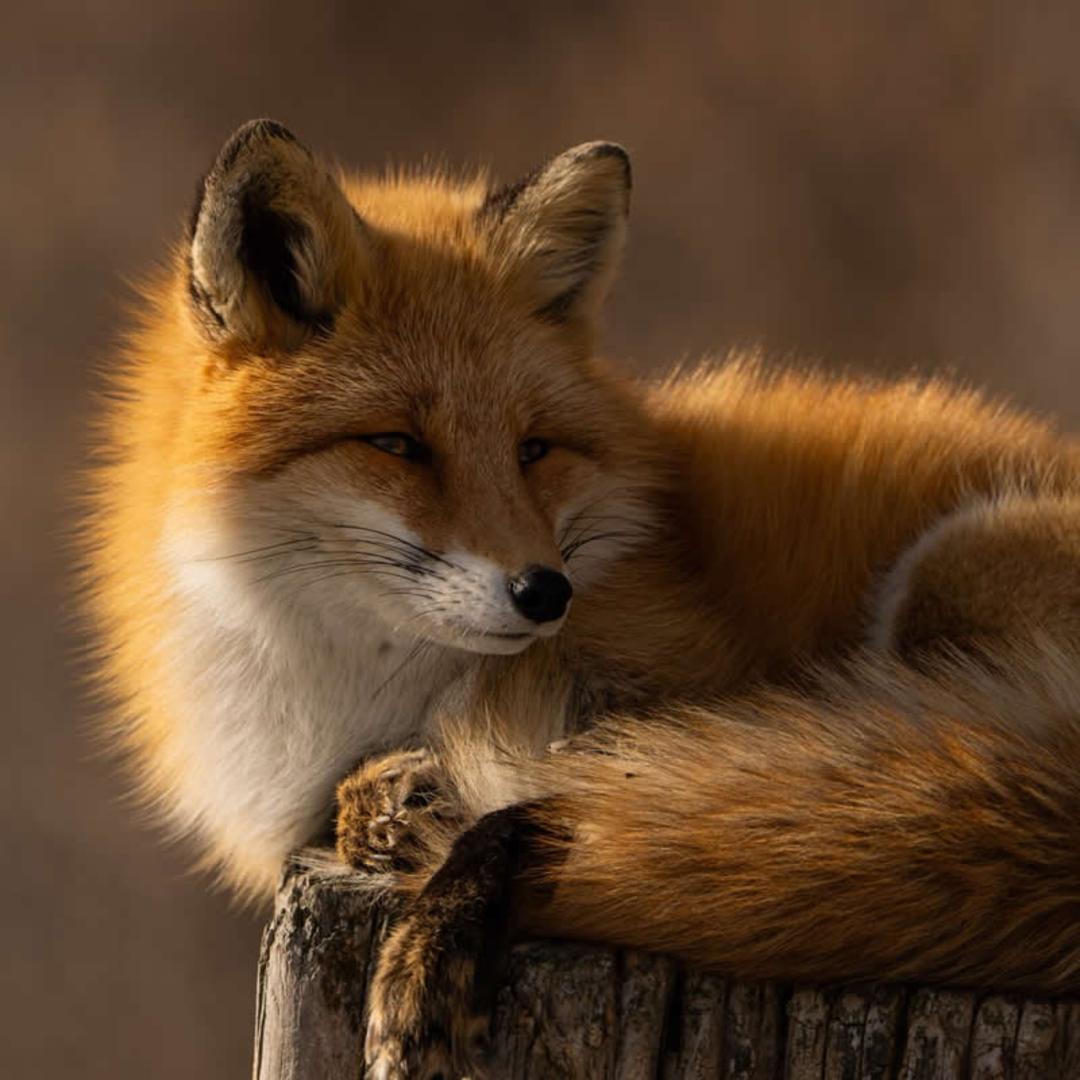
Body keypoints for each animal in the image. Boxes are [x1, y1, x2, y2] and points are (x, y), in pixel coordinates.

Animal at [81, 119, 1080, 1078]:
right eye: (398, 445)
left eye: (534, 449)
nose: (544, 592)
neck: (350, 689)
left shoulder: (675, 682)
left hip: (949, 571)